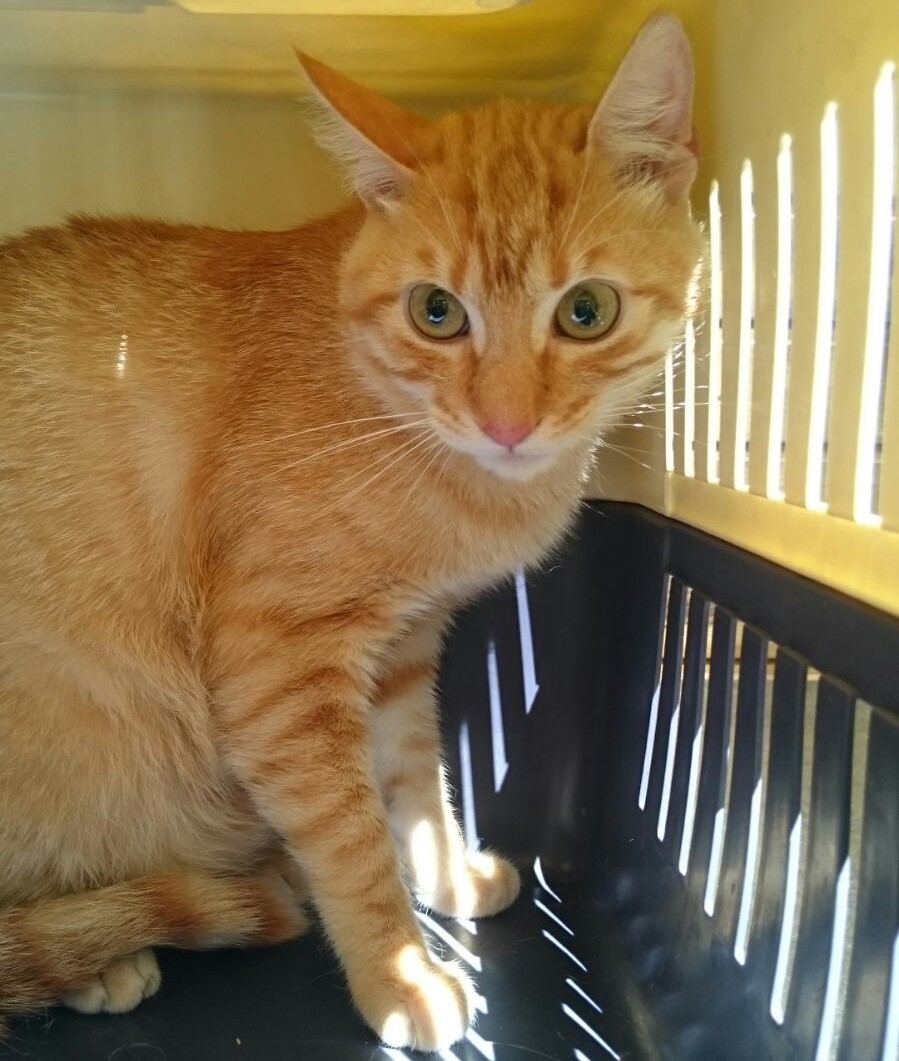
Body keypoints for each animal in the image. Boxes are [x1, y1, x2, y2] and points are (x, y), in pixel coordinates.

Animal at [0, 12, 702, 1052]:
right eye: (436, 312)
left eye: (586, 310)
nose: (506, 423)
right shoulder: (277, 668)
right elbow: (348, 835)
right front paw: (400, 972)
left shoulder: (402, 653)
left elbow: (413, 782)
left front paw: (446, 874)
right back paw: (103, 957)